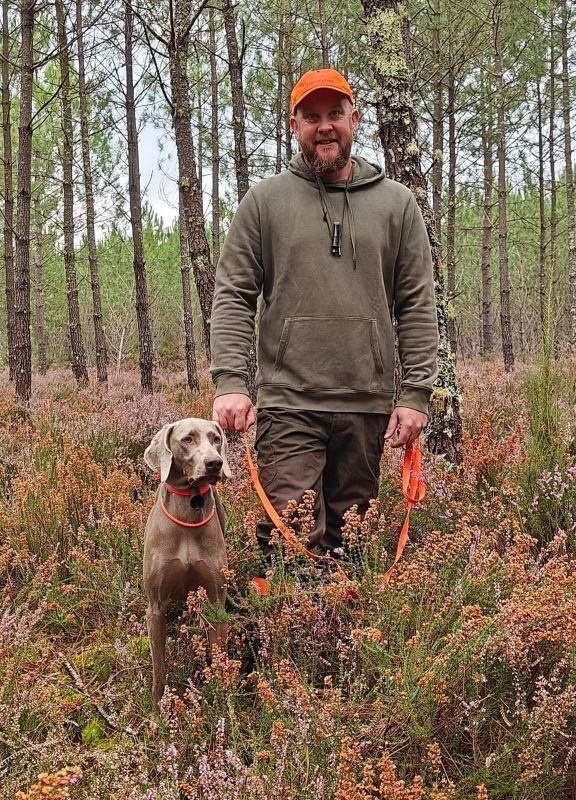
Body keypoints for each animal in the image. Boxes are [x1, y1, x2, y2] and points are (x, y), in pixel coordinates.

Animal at [143, 416, 231, 704]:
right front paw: (158, 705)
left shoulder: (216, 598)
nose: (215, 462)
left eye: (216, 438)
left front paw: (221, 696)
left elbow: (218, 654)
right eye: (187, 439)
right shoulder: (155, 606)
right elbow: (159, 666)